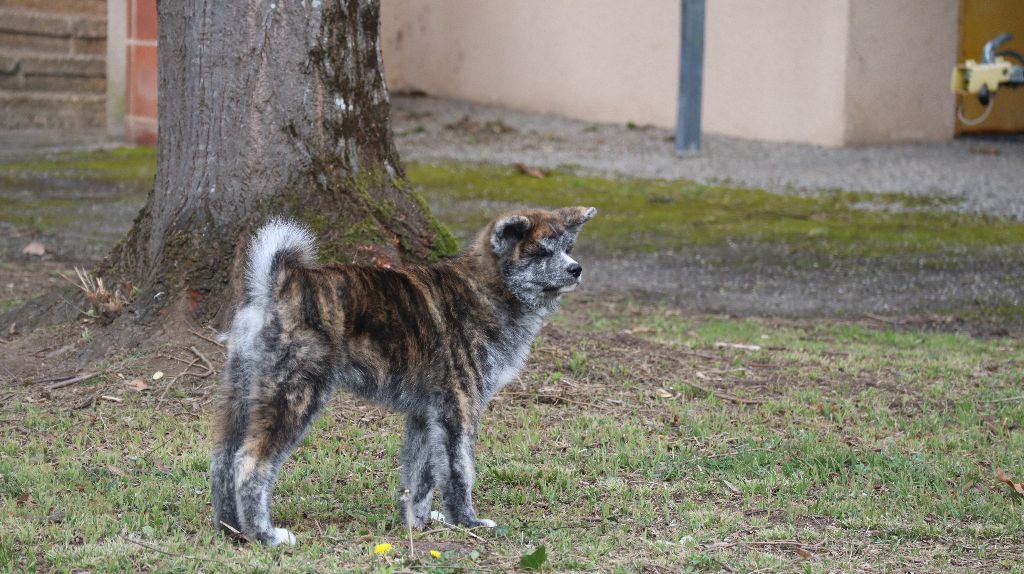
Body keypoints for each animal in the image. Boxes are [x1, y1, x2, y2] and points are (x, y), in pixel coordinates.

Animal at [210, 206, 596, 545]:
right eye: (541, 251)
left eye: (567, 248)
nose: (576, 269)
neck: (489, 288)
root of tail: (278, 283)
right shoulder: (458, 409)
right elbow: (458, 471)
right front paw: (466, 522)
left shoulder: (427, 415)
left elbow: (420, 476)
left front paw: (419, 523)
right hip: (295, 396)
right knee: (251, 464)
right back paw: (264, 536)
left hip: (243, 397)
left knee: (224, 460)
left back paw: (232, 530)